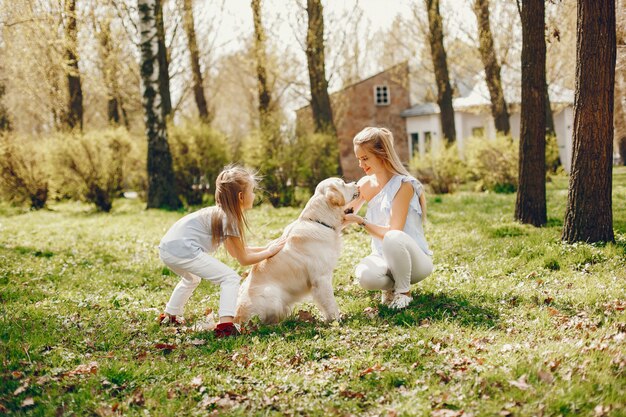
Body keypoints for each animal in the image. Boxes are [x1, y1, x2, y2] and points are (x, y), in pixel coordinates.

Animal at [234, 177, 358, 324]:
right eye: (343, 183)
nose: (356, 183)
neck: (319, 221)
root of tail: (237, 319)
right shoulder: (321, 278)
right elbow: (330, 302)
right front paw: (336, 320)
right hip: (271, 293)